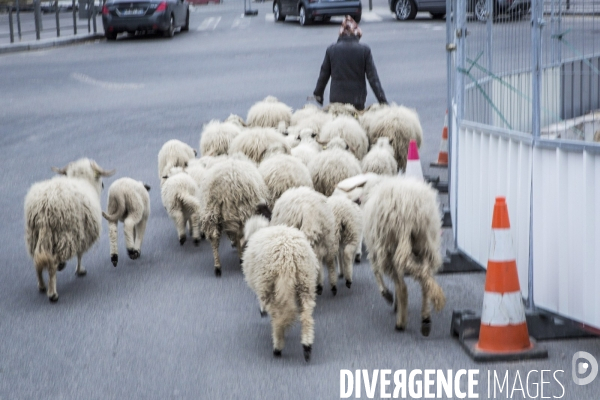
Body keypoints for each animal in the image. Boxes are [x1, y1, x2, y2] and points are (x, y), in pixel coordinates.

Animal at [23, 158, 115, 302]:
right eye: (97, 177)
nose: (103, 185)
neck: (82, 180)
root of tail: (44, 208)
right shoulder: (82, 233)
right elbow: (80, 254)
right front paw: (80, 270)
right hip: (65, 235)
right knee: (52, 265)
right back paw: (52, 293)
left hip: (35, 236)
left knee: (37, 262)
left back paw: (42, 285)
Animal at [243, 216, 322, 362]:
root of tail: (289, 256)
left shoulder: (262, 286)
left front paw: (262, 310)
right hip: (305, 280)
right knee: (306, 314)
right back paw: (307, 346)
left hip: (270, 283)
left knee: (277, 315)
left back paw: (278, 345)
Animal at [360, 175, 446, 334]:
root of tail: (411, 208)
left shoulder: (375, 249)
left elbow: (376, 272)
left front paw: (387, 295)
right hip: (425, 242)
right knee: (425, 274)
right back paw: (426, 317)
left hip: (392, 244)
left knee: (402, 286)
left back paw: (401, 322)